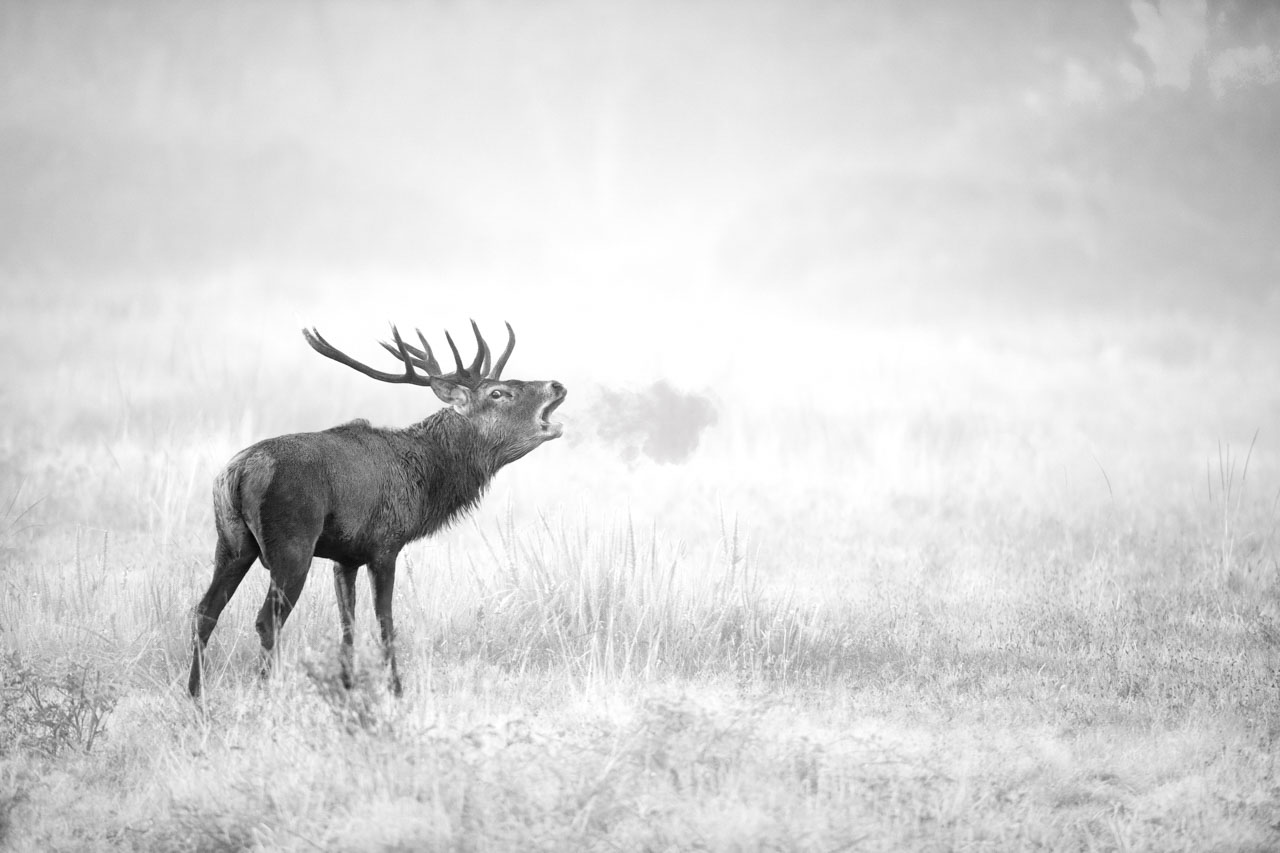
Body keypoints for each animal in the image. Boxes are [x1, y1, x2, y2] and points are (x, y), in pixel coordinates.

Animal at [187, 321, 565, 698]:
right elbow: (385, 622)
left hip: (231, 542)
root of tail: (239, 473)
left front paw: (347, 684)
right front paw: (396, 689)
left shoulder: (345, 557)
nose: (557, 384)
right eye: (498, 393)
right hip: (292, 544)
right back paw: (265, 691)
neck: (425, 483)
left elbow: (347, 623)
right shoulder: (385, 544)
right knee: (267, 620)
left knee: (205, 610)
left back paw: (195, 692)